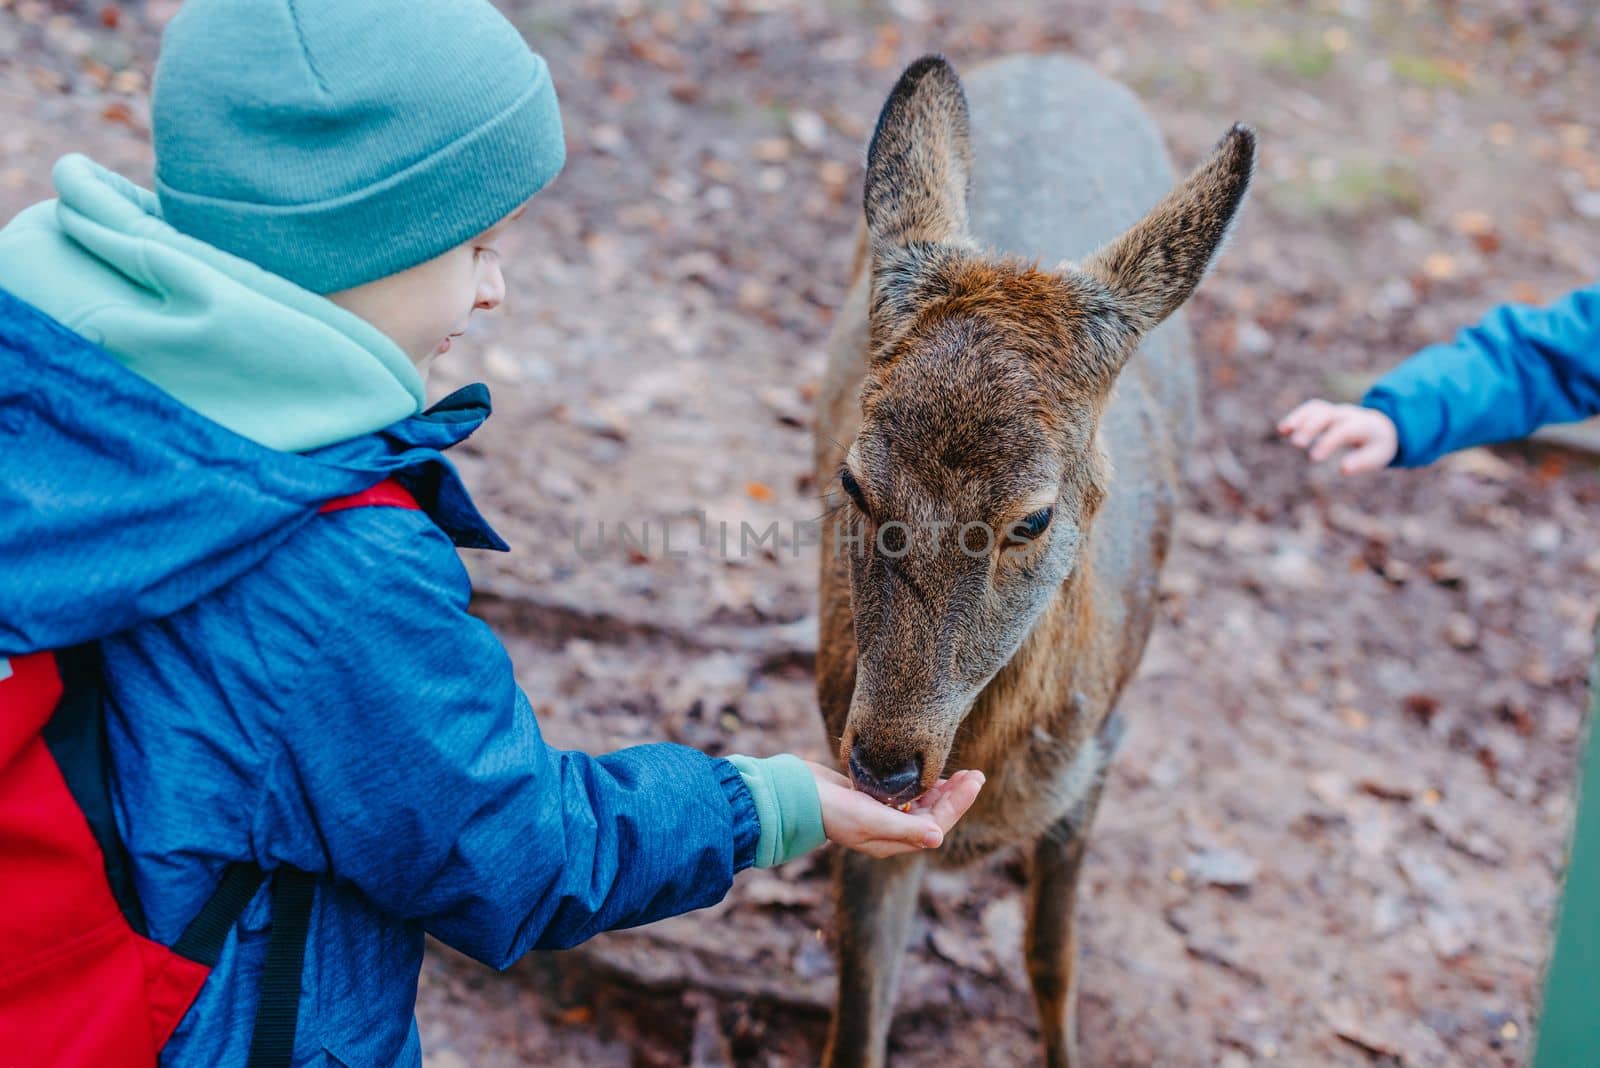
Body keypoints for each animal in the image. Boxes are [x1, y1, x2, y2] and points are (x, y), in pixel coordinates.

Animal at [812, 56, 1248, 1068]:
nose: (886, 765)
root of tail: (1063, 63)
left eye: (1034, 517)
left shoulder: (1102, 751)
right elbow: (858, 1017)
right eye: (854, 482)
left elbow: (1053, 958)